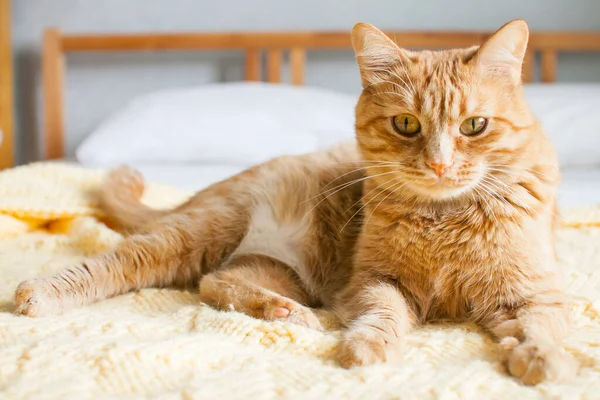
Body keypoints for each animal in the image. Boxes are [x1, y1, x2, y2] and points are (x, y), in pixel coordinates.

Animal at [14, 20, 576, 386]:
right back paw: (38, 293)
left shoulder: (531, 294)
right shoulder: (374, 281)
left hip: (281, 270)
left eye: (474, 126)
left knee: (215, 281)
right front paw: (368, 348)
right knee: (122, 262)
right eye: (406, 124)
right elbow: (383, 315)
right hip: (204, 229)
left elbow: (542, 327)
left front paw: (542, 359)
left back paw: (283, 312)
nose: (439, 164)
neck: (444, 217)